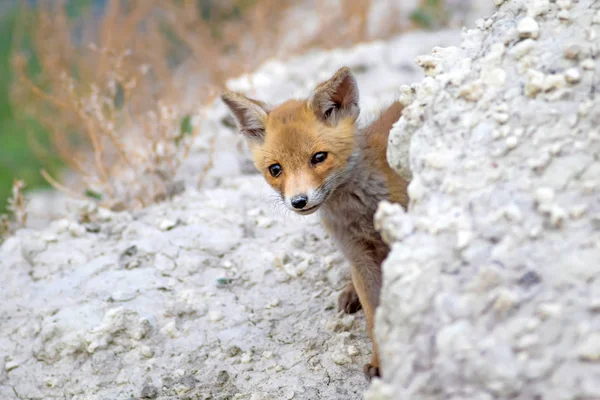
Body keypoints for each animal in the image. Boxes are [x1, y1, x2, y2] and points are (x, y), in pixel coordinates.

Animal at [223, 67, 410, 380]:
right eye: (276, 169)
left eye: (319, 157)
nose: (299, 201)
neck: (359, 211)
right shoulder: (357, 254)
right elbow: (375, 316)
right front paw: (382, 361)